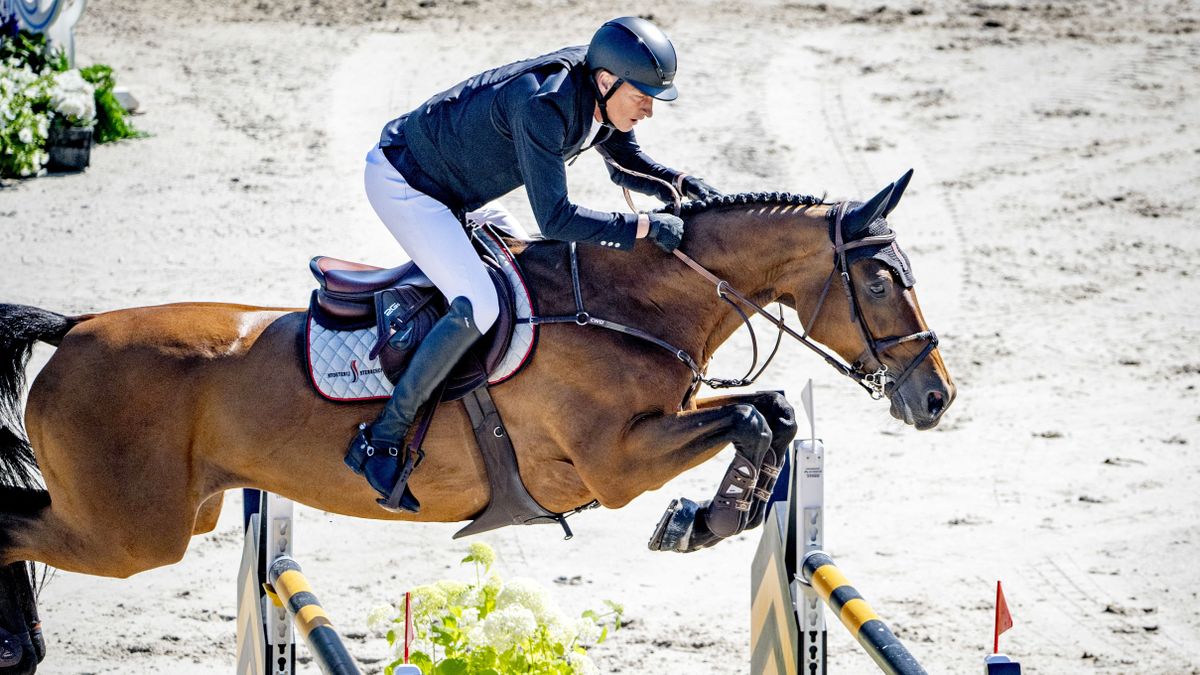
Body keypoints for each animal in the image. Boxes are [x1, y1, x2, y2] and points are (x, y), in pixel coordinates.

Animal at [0, 171, 955, 667]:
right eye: (881, 281)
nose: (937, 396)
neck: (623, 303)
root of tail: (73, 327)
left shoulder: (669, 419)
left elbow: (773, 412)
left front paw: (710, 516)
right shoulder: (616, 464)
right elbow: (755, 419)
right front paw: (700, 518)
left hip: (169, 517)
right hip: (131, 532)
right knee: (12, 527)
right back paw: (19, 641)